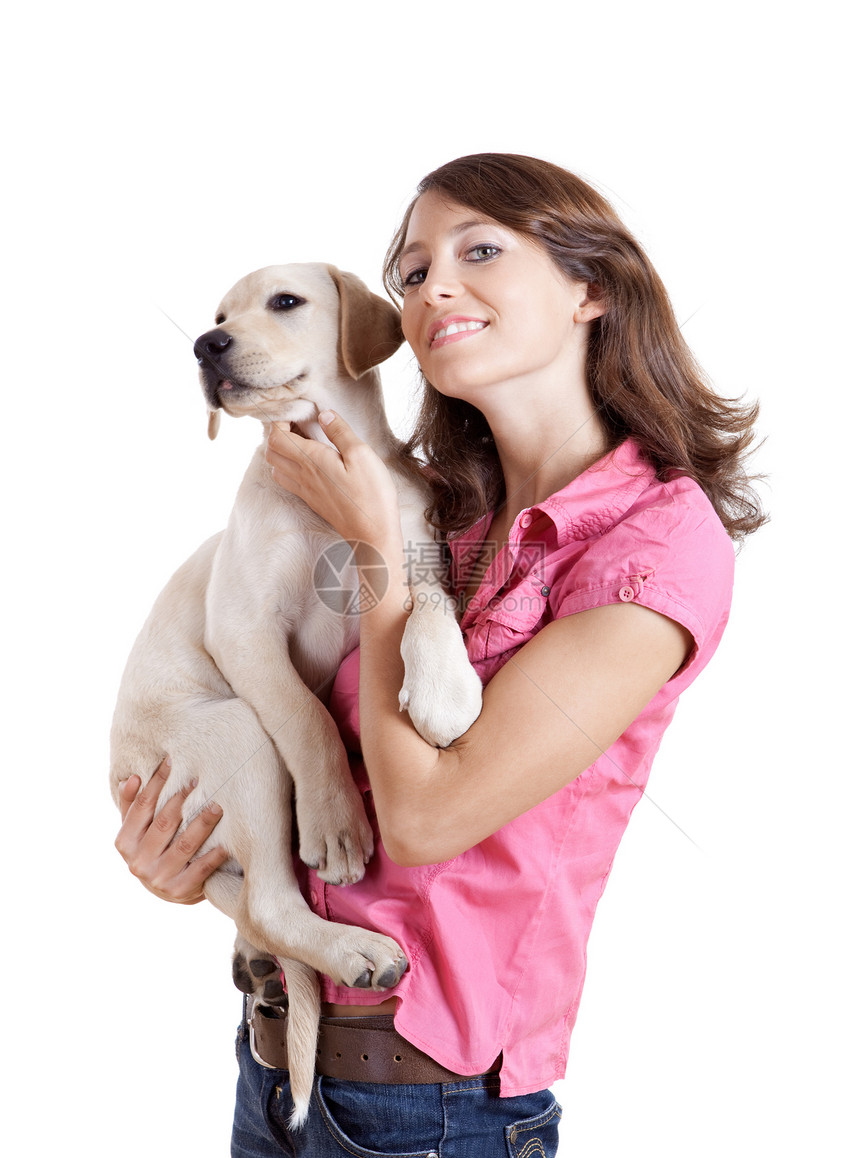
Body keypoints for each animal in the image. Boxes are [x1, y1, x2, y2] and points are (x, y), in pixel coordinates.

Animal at [109, 266, 481, 1125]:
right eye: (217, 315)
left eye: (284, 303)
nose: (207, 346)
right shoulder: (246, 632)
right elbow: (307, 718)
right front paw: (337, 825)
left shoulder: (407, 553)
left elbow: (431, 604)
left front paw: (446, 689)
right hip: (236, 732)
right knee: (273, 902)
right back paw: (352, 950)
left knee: (256, 905)